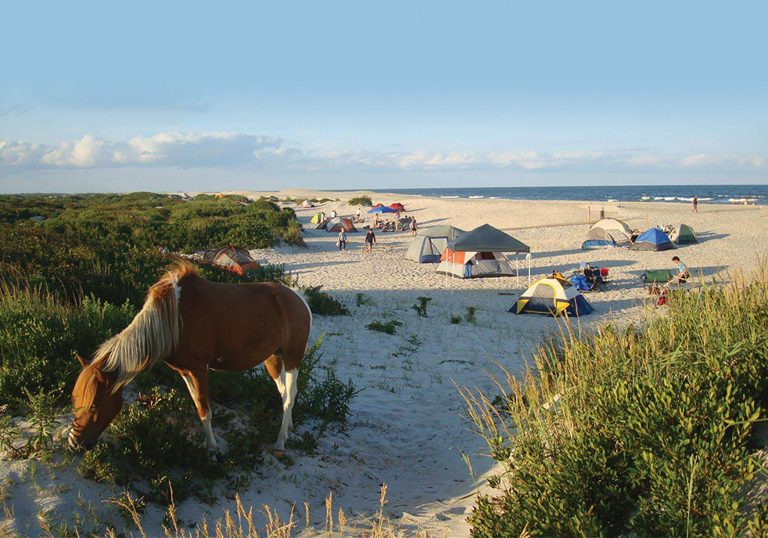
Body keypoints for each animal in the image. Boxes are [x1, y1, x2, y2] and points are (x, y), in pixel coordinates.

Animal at [68, 260, 312, 452]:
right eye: (75, 399)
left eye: (93, 405)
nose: (74, 443)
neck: (172, 320)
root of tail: (299, 299)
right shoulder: (184, 372)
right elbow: (197, 405)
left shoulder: (199, 370)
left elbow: (205, 409)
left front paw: (212, 448)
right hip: (272, 359)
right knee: (284, 393)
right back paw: (289, 428)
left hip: (292, 359)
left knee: (289, 397)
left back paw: (281, 441)